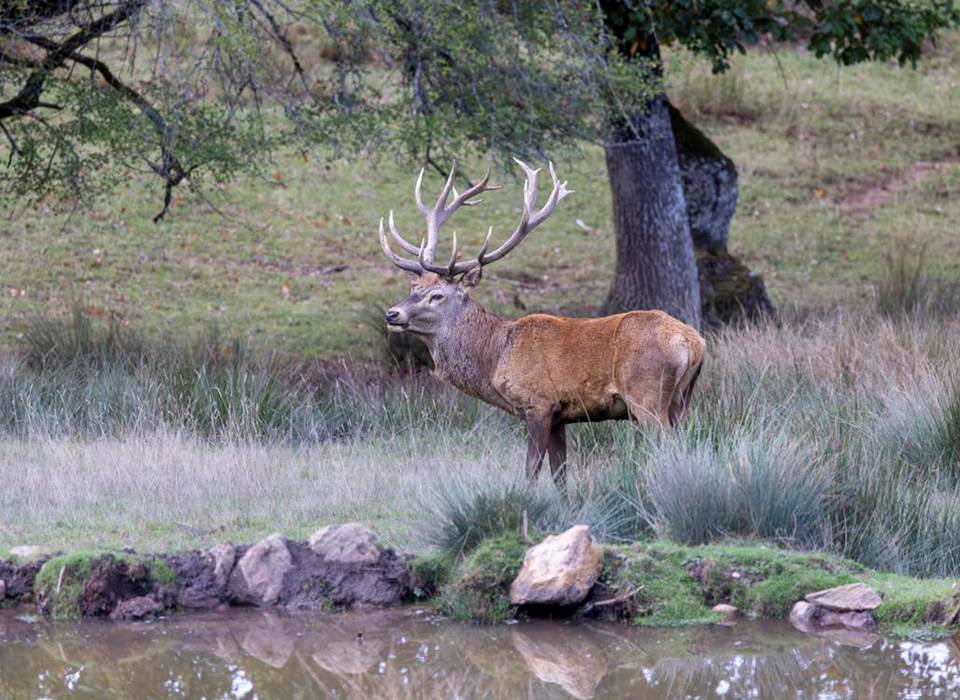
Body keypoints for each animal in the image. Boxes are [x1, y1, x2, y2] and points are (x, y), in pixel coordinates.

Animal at [377, 158, 705, 488]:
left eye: (437, 296)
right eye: (413, 288)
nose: (392, 314)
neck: (496, 356)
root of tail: (693, 343)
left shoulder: (538, 403)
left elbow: (531, 471)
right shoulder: (561, 416)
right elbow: (560, 475)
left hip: (647, 395)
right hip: (681, 400)